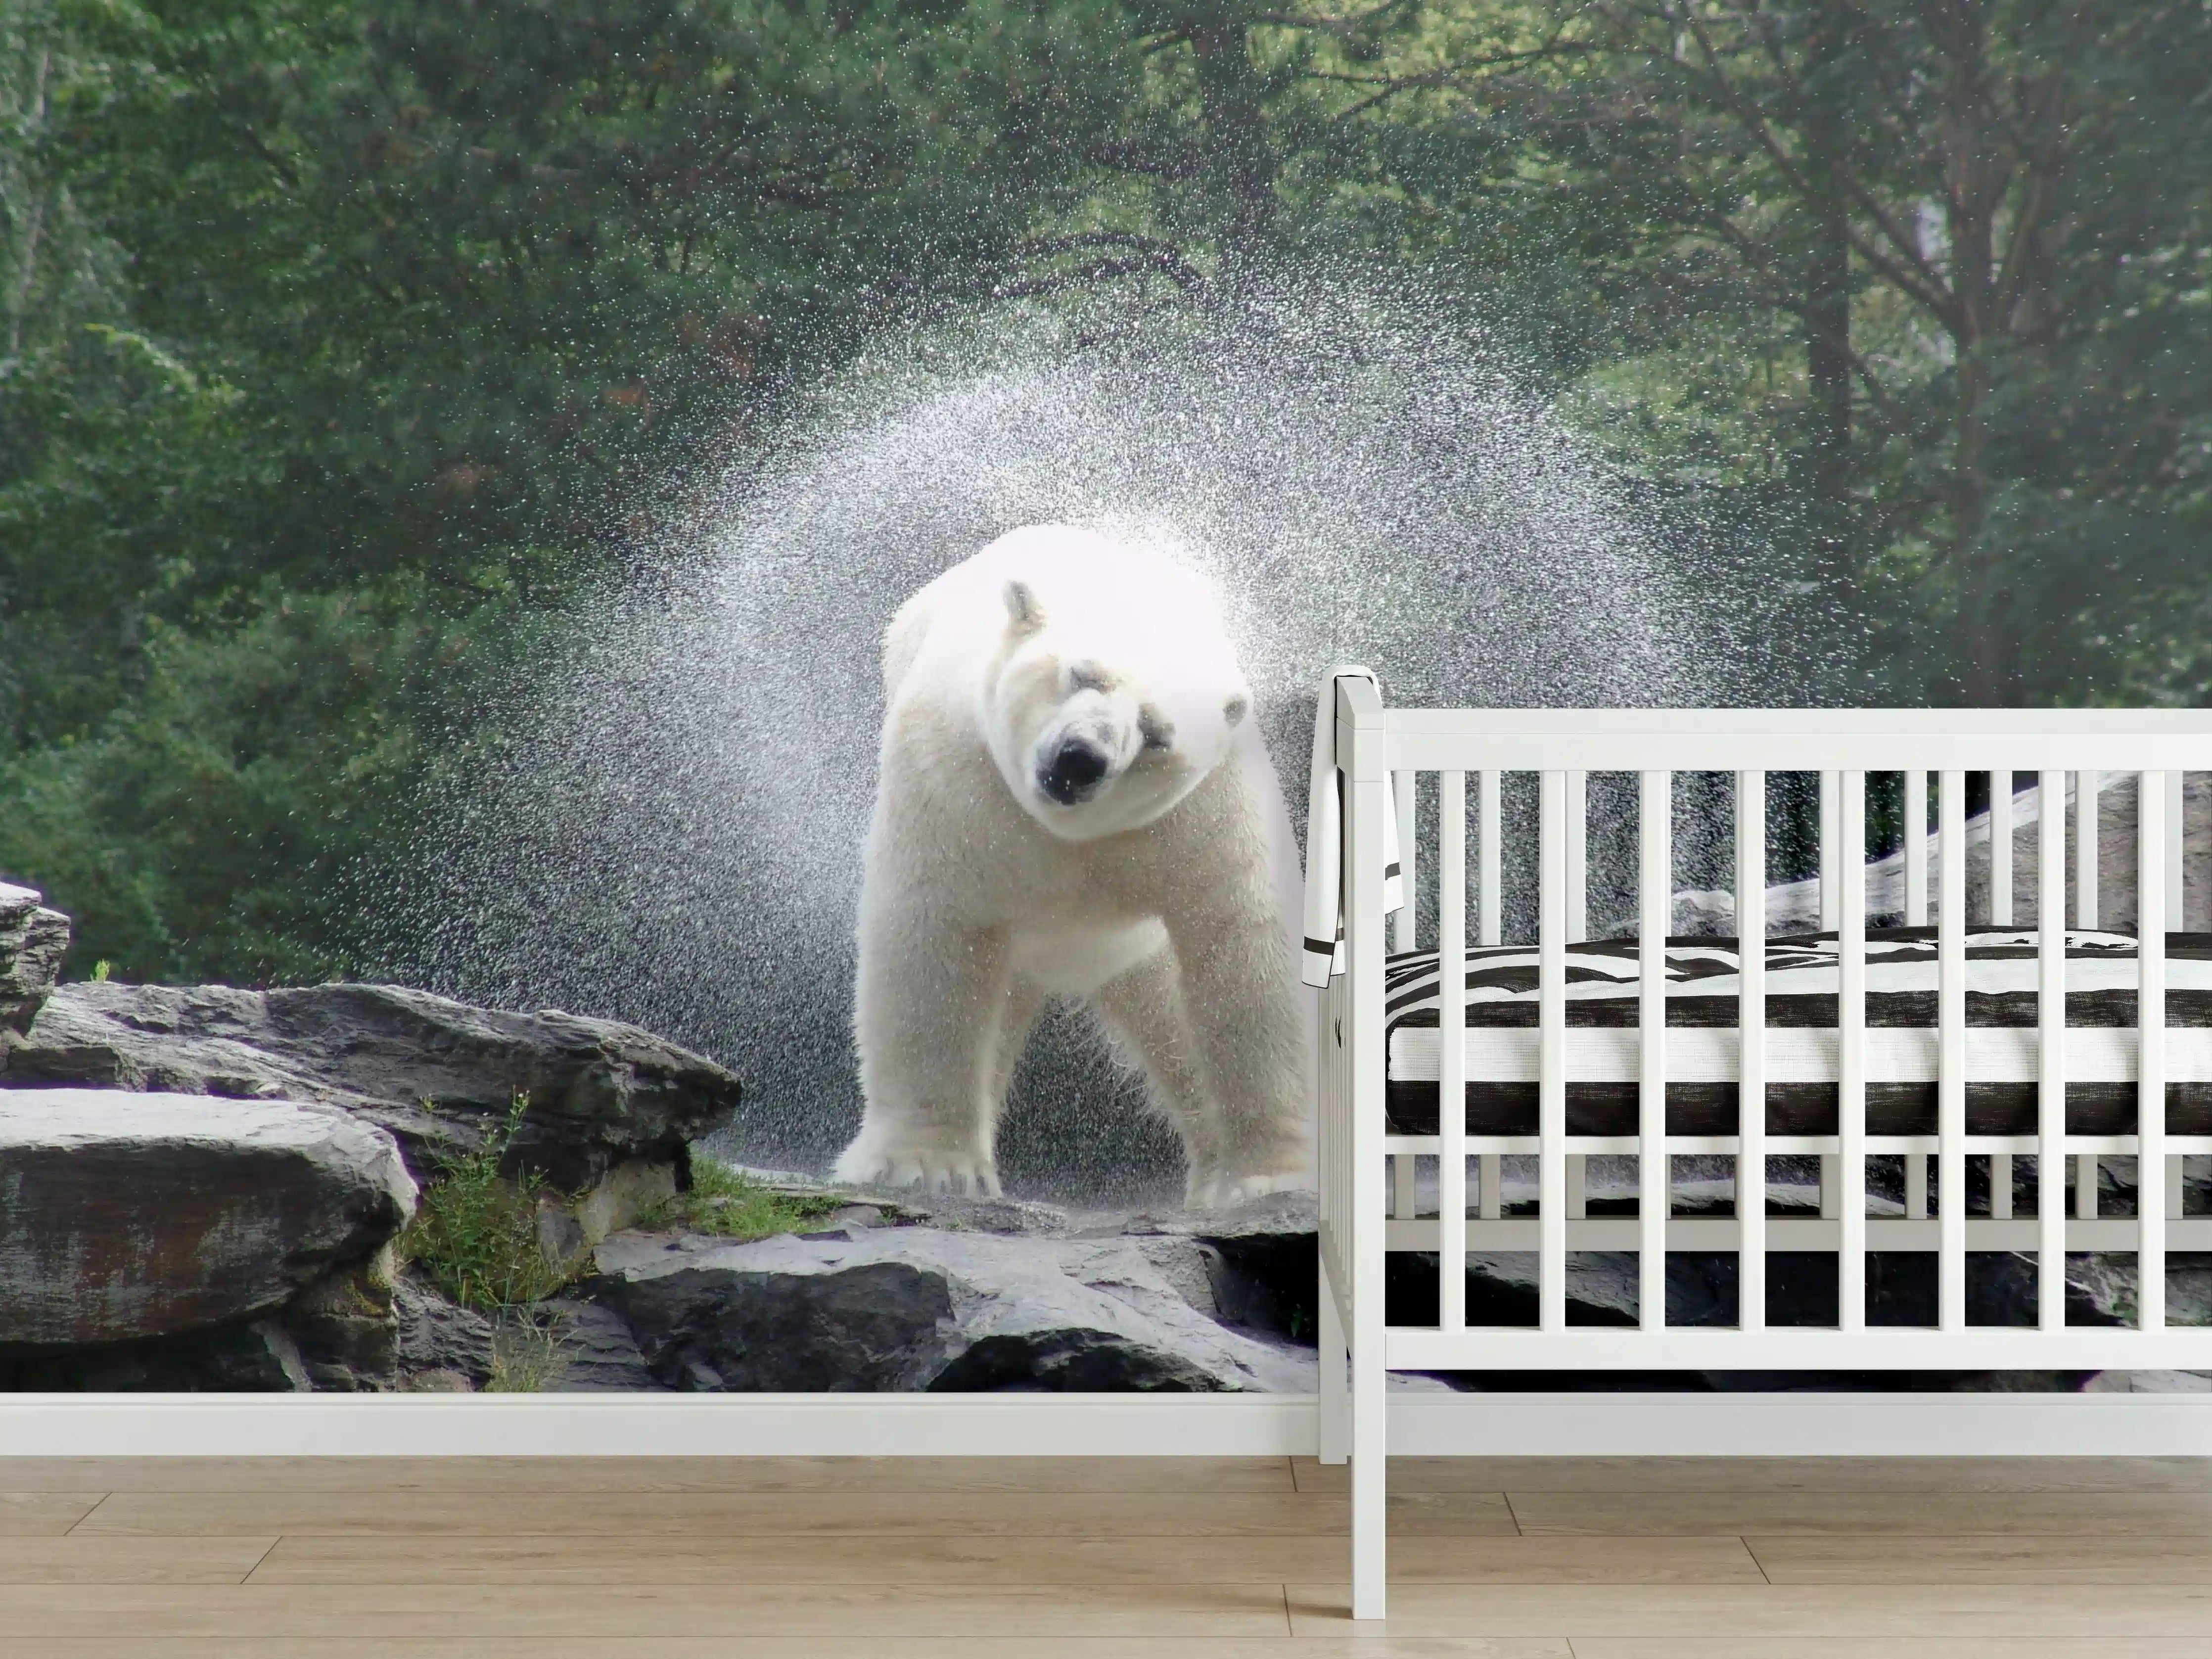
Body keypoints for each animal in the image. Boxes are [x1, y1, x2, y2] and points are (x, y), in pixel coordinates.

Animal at [835, 523, 1312, 1206]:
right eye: (1081, 674)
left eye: (1156, 733)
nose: (1081, 758)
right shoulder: (956, 778)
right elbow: (936, 936)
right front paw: (926, 1166)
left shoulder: (1202, 814)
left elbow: (1240, 948)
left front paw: (1272, 1181)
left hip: (1132, 952)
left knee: (1171, 1022)